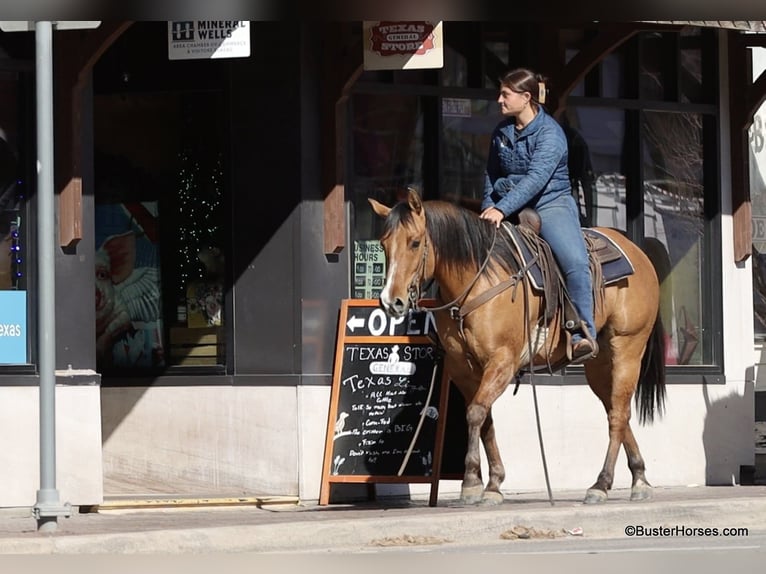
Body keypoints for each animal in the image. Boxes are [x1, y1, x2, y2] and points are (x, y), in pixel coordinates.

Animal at [370, 189, 664, 504]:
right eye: (383, 244)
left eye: (414, 242)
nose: (391, 301)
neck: (478, 280)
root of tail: (639, 253)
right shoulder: (463, 369)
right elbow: (483, 418)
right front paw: (492, 483)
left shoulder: (503, 360)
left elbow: (476, 412)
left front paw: (472, 482)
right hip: (599, 363)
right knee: (616, 411)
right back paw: (639, 478)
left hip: (627, 349)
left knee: (618, 413)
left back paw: (601, 484)